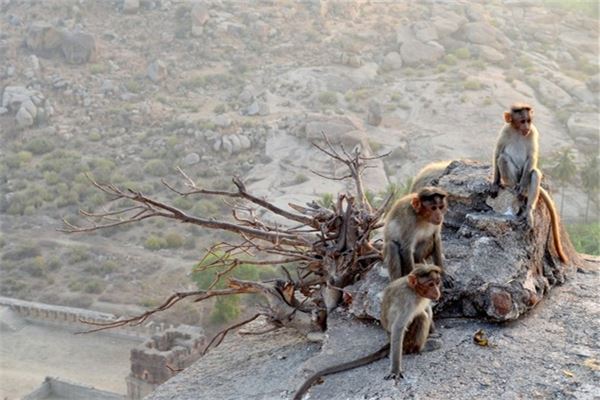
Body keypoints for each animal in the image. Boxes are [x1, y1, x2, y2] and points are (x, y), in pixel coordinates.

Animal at [292, 264, 442, 398]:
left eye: (436, 283)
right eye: (430, 284)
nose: (437, 292)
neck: (415, 291)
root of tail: (388, 341)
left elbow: (427, 308)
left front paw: (433, 332)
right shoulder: (407, 300)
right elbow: (398, 328)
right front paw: (395, 370)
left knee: (423, 313)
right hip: (407, 340)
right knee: (420, 317)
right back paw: (421, 348)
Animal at [490, 103, 568, 262]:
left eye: (529, 121)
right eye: (522, 121)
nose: (527, 126)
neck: (517, 131)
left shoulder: (533, 132)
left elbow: (532, 158)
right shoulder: (505, 130)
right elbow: (497, 153)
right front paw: (495, 183)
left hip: (526, 186)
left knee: (534, 174)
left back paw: (528, 210)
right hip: (511, 180)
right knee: (503, 158)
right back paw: (515, 192)